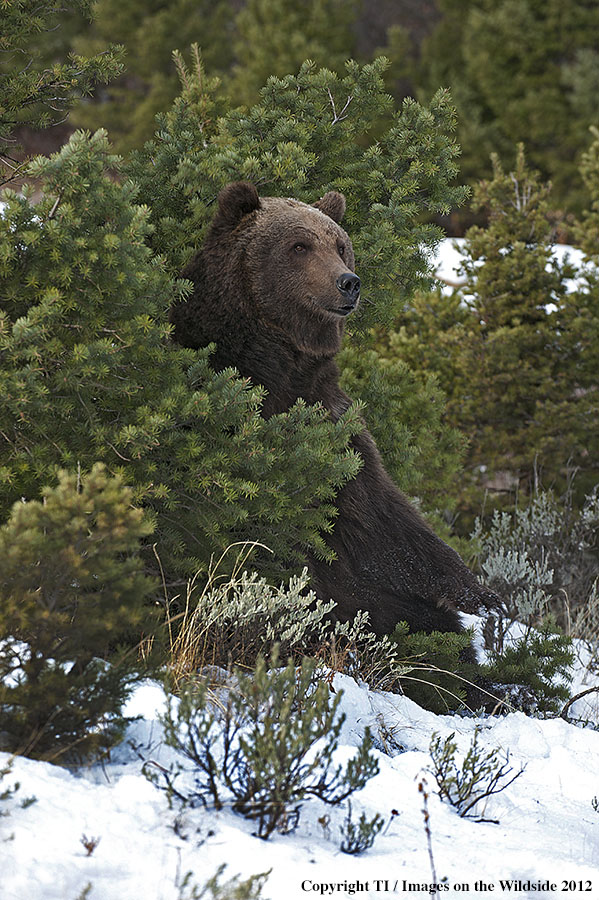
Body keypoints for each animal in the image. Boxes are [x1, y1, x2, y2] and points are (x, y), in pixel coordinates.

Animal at [171, 183, 500, 644]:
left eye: (341, 245)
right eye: (299, 246)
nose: (349, 283)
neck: (278, 364)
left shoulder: (333, 424)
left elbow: (382, 519)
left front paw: (483, 596)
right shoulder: (226, 409)